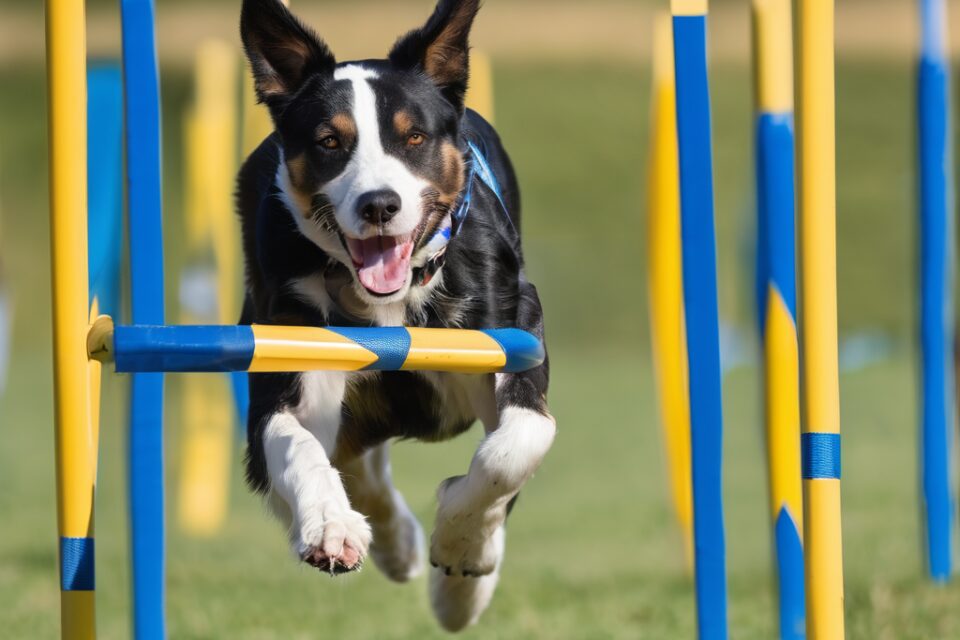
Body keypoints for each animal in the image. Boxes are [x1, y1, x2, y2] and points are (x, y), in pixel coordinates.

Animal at [236, 0, 556, 632]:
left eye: (413, 136)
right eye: (329, 141)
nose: (378, 205)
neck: (392, 302)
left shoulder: (513, 332)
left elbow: (514, 449)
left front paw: (461, 553)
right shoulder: (289, 350)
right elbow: (297, 445)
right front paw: (331, 528)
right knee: (355, 464)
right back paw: (389, 540)